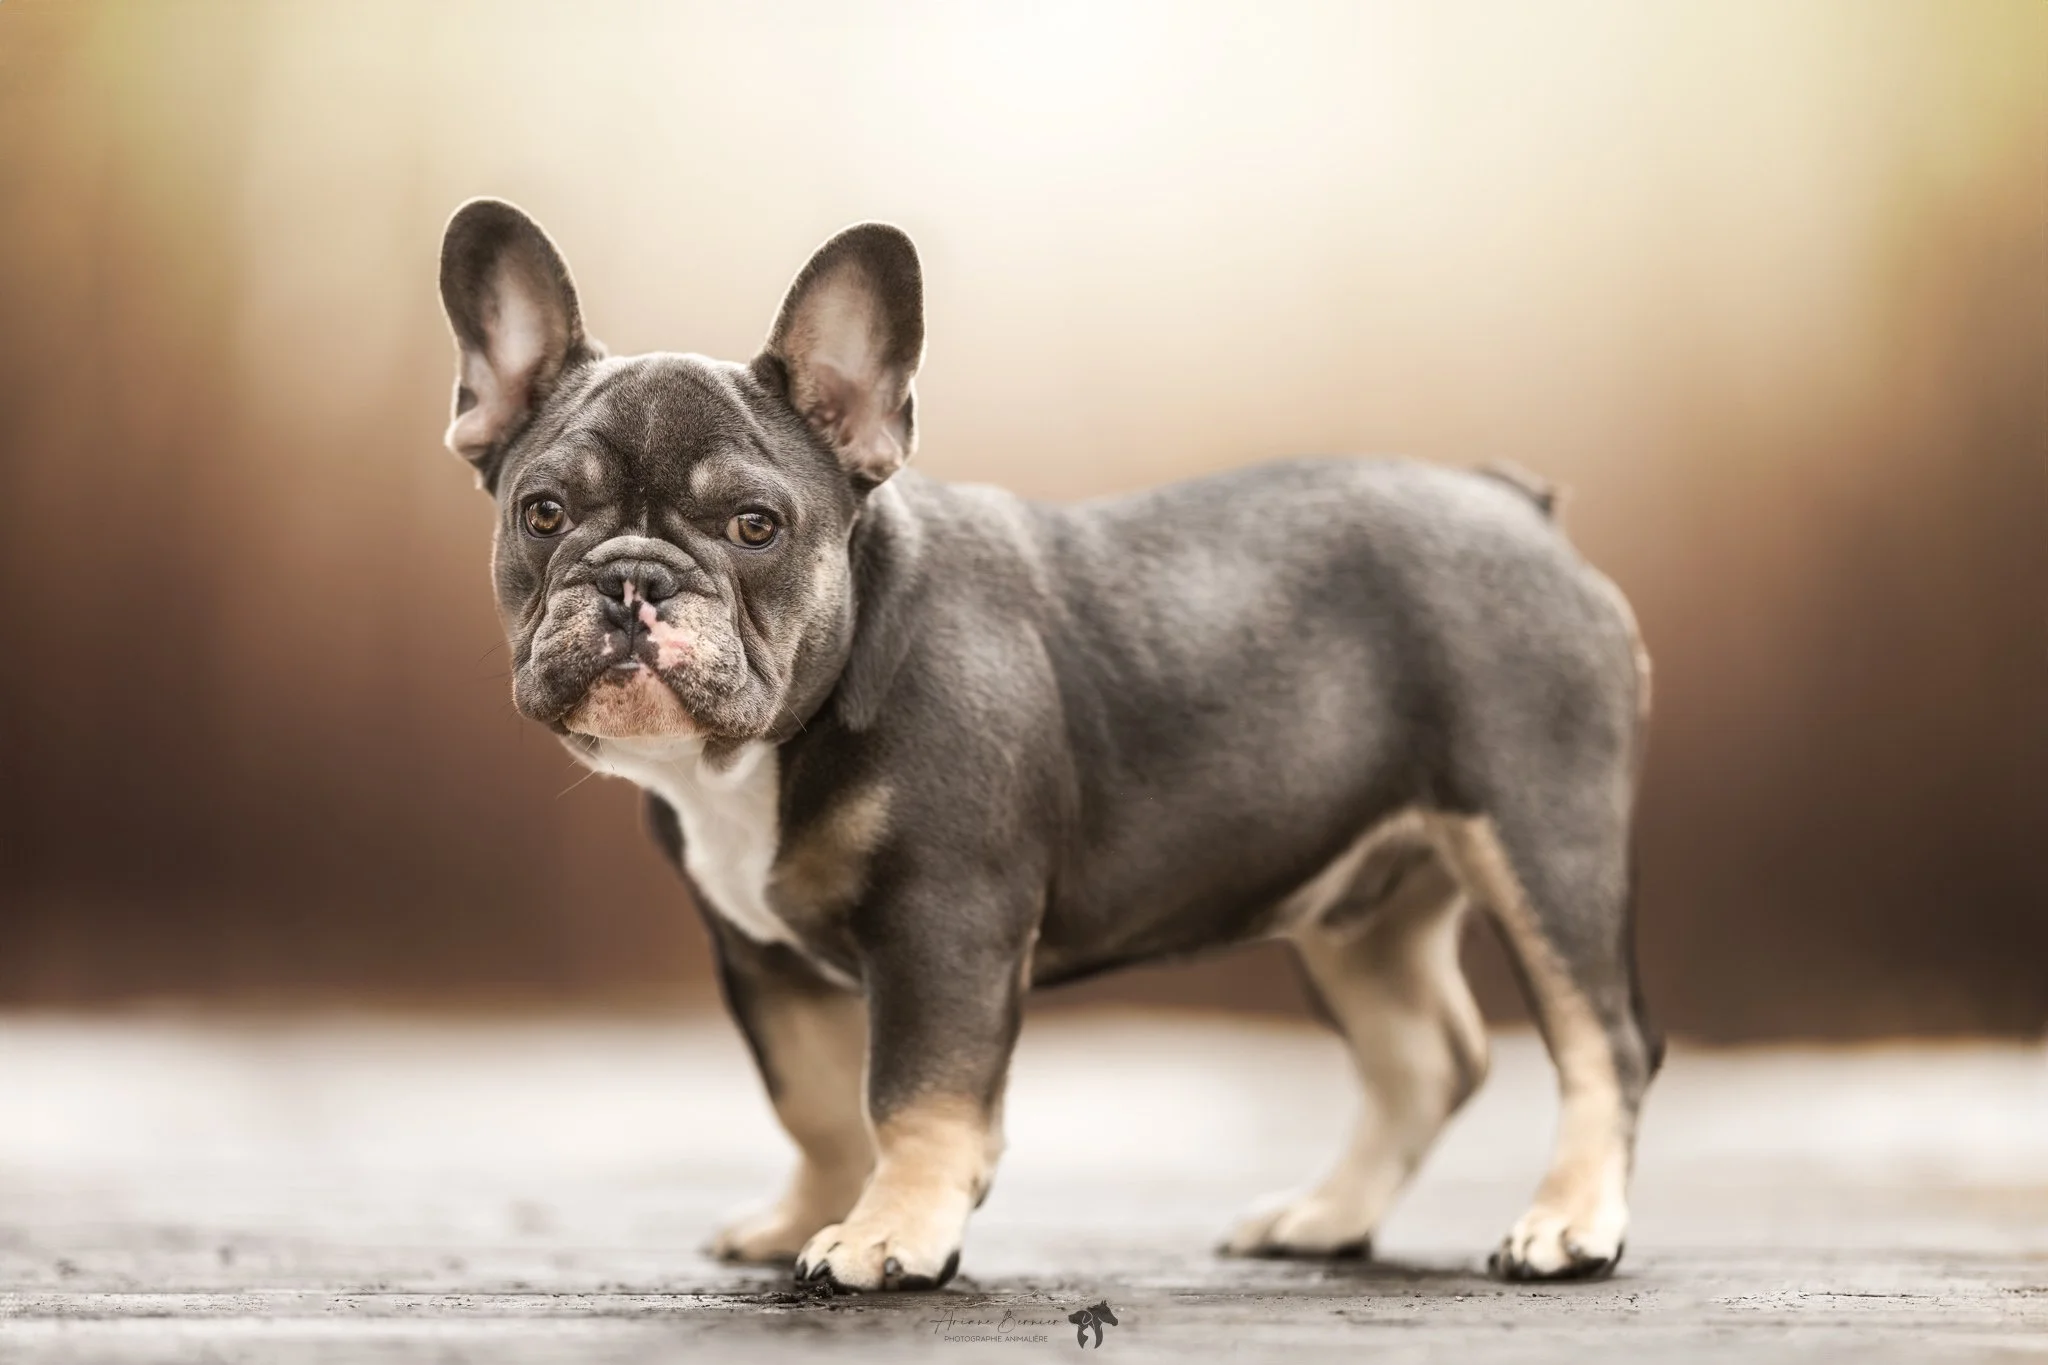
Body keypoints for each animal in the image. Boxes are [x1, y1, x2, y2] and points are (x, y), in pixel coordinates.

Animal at [434, 199, 1659, 1292]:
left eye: (754, 527)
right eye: (544, 514)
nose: (632, 579)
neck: (768, 747)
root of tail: (1519, 509)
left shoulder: (944, 923)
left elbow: (913, 1095)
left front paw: (889, 1234)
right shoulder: (761, 954)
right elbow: (815, 1101)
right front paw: (810, 1214)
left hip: (1540, 840)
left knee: (1601, 1041)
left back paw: (1566, 1226)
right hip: (1360, 906)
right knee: (1425, 1061)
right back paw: (1326, 1216)